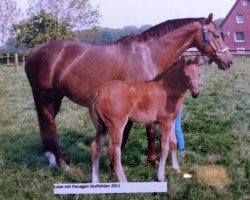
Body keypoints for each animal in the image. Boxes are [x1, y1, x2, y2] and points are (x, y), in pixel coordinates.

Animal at [25, 13, 232, 170]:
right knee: (50, 126)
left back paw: (54, 159)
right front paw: (150, 160)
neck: (147, 55)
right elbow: (147, 130)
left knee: (47, 125)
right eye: (215, 34)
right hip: (45, 96)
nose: (228, 61)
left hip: (55, 98)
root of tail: (33, 51)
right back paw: (61, 163)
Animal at [91, 55, 202, 183]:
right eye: (185, 74)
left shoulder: (172, 121)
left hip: (102, 126)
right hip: (117, 125)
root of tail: (99, 92)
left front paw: (176, 169)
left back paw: (95, 181)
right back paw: (124, 181)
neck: (169, 90)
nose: (196, 94)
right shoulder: (165, 122)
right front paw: (161, 177)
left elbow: (173, 143)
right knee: (114, 151)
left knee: (96, 147)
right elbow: (164, 148)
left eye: (199, 74)